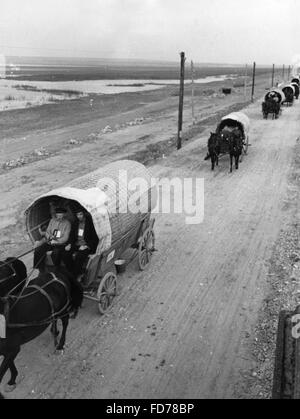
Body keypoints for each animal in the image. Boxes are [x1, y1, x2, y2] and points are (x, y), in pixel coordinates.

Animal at [0, 268, 82, 398]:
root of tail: (60, 273)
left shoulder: (13, 348)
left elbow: (3, 370)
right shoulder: (8, 350)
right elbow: (9, 365)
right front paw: (12, 381)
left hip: (63, 309)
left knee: (65, 322)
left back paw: (60, 345)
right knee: (54, 318)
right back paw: (54, 331)